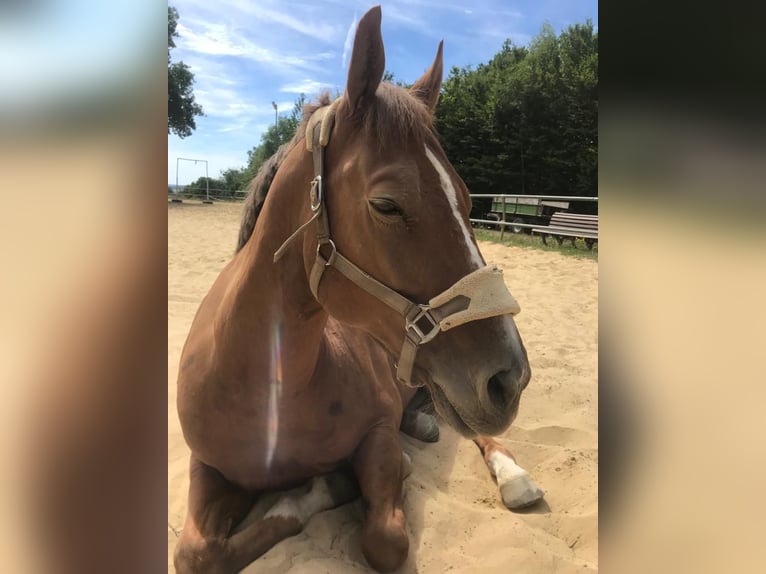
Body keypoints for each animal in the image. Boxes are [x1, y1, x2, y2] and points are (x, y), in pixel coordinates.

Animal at [176, 6, 544, 572]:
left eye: (466, 200)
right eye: (386, 205)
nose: (509, 378)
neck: (263, 390)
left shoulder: (378, 432)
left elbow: (384, 540)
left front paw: (328, 486)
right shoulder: (207, 466)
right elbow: (197, 553)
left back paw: (514, 476)